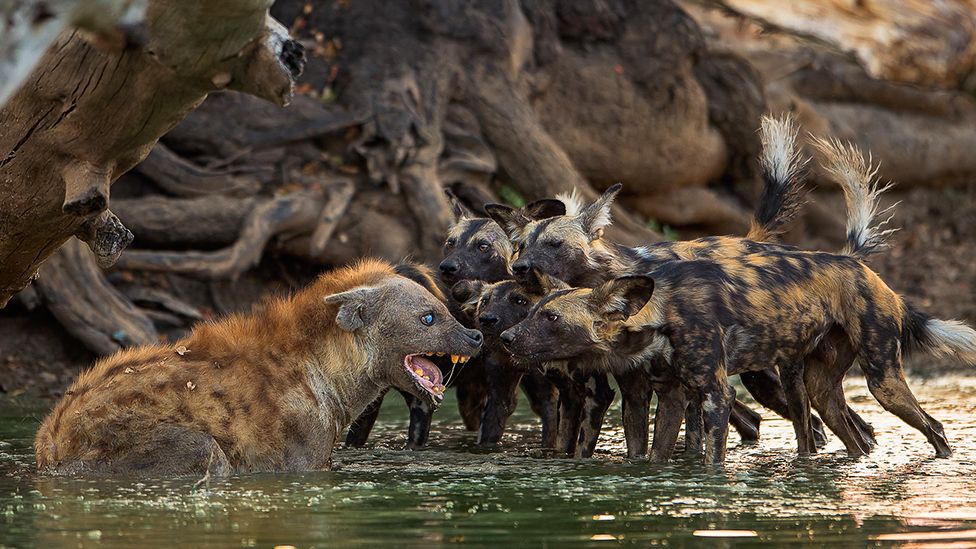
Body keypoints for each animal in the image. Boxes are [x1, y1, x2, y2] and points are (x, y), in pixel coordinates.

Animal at [36, 260, 482, 474]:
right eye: (428, 318)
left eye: (445, 310)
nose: (475, 335)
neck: (326, 375)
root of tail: (51, 442)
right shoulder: (302, 457)